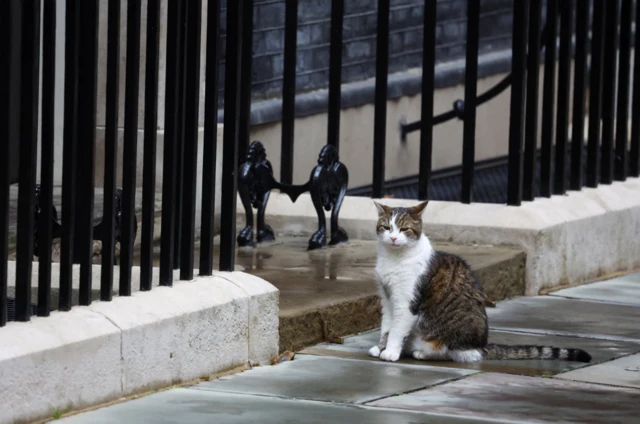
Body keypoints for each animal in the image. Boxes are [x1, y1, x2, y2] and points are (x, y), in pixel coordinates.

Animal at [368, 200, 592, 362]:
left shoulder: (406, 301)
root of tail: (481, 346)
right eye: (387, 227)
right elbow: (386, 327)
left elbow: (397, 330)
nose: (393, 238)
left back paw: (422, 352)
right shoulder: (387, 298)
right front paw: (380, 347)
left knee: (456, 353)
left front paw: (391, 352)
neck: (394, 258)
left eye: (404, 229)